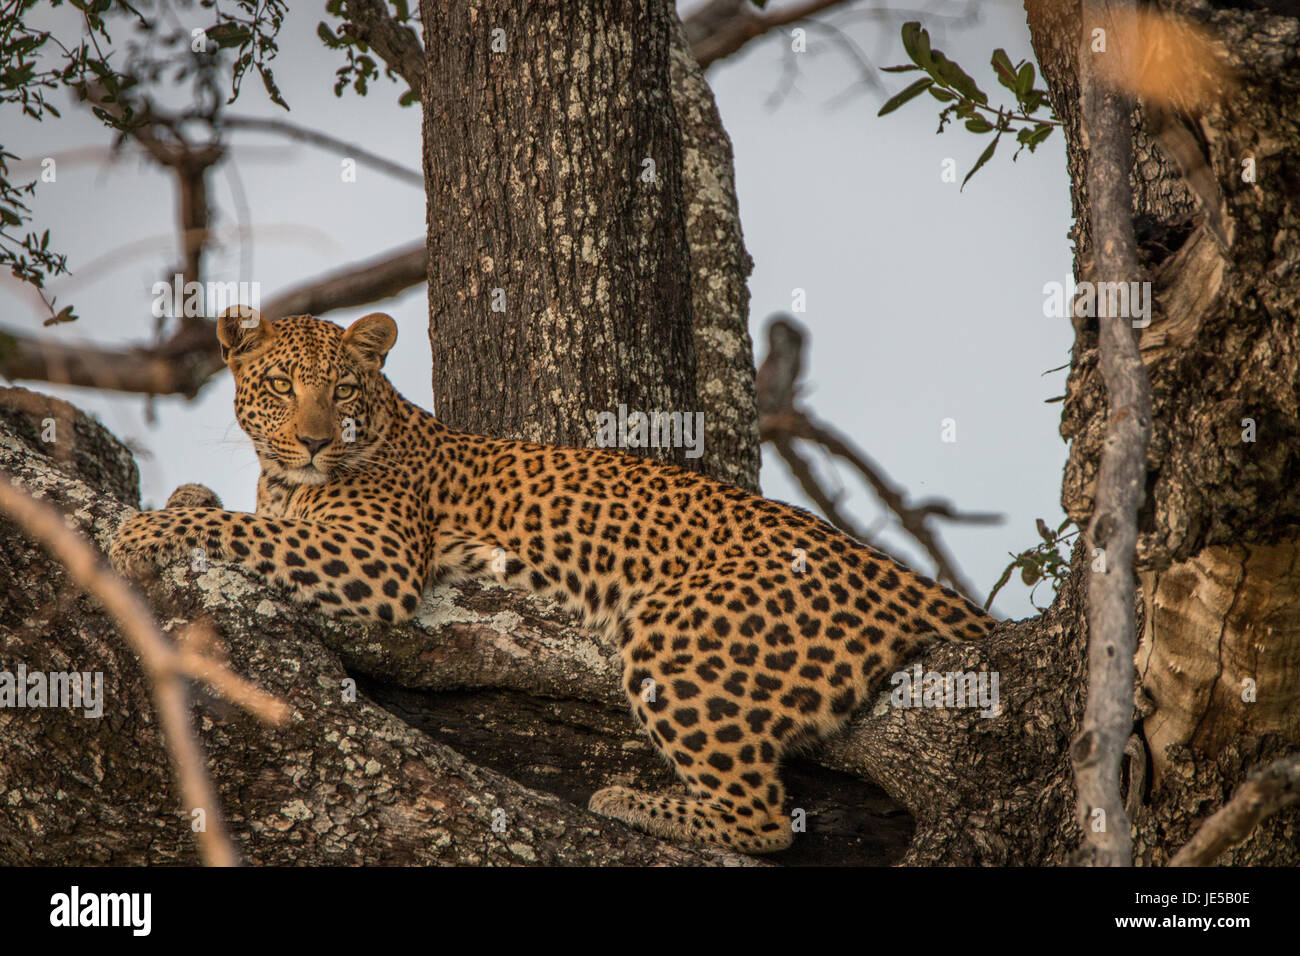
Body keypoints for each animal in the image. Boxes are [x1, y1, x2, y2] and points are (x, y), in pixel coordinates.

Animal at [110, 306, 997, 854]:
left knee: (764, 819)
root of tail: (900, 574)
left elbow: (243, 530)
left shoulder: (374, 557)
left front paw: (141, 532)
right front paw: (185, 497)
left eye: (344, 390)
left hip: (679, 632)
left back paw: (631, 802)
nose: (317, 441)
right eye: (280, 386)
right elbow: (239, 512)